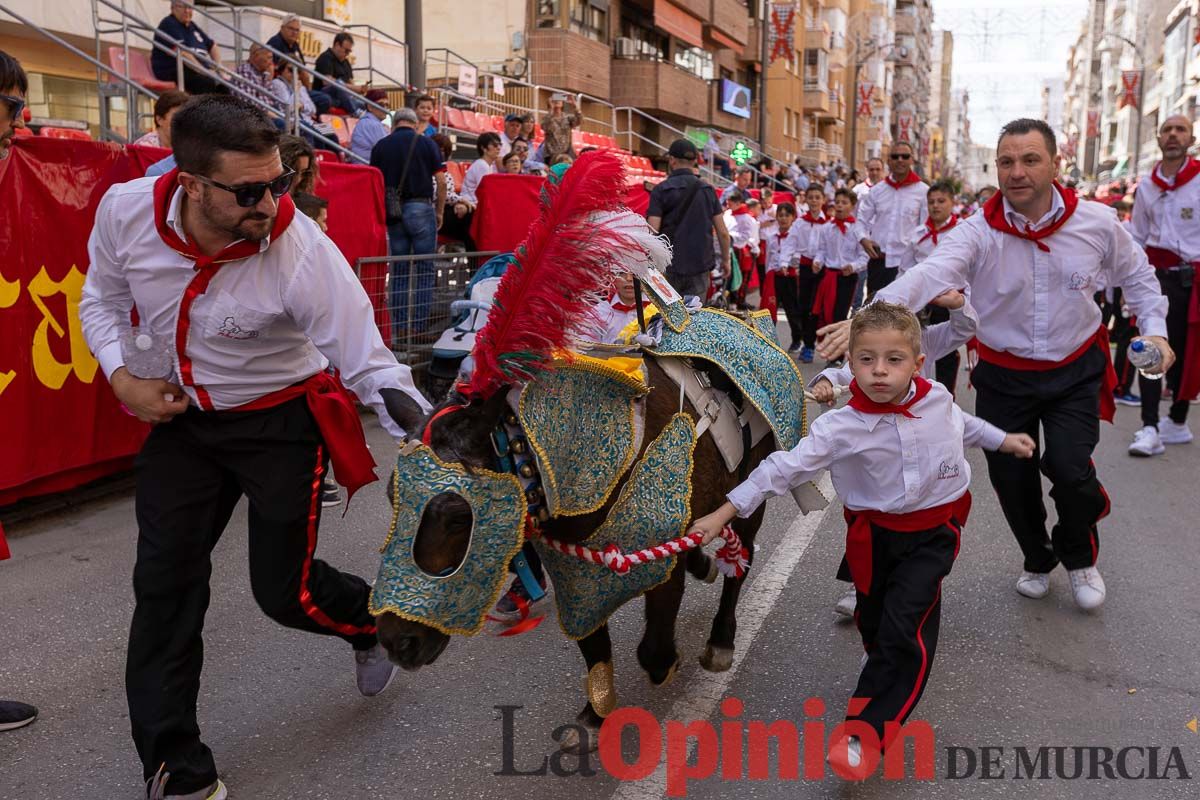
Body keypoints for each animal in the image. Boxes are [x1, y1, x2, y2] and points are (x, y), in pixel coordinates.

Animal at [372, 153, 825, 753]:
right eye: (391, 496)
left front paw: (666, 665)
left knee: (740, 563)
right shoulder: (574, 575)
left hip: (755, 496)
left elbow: (654, 649)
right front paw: (593, 714)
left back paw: (722, 636)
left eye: (454, 513)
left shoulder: (658, 566)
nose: (394, 641)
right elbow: (595, 649)